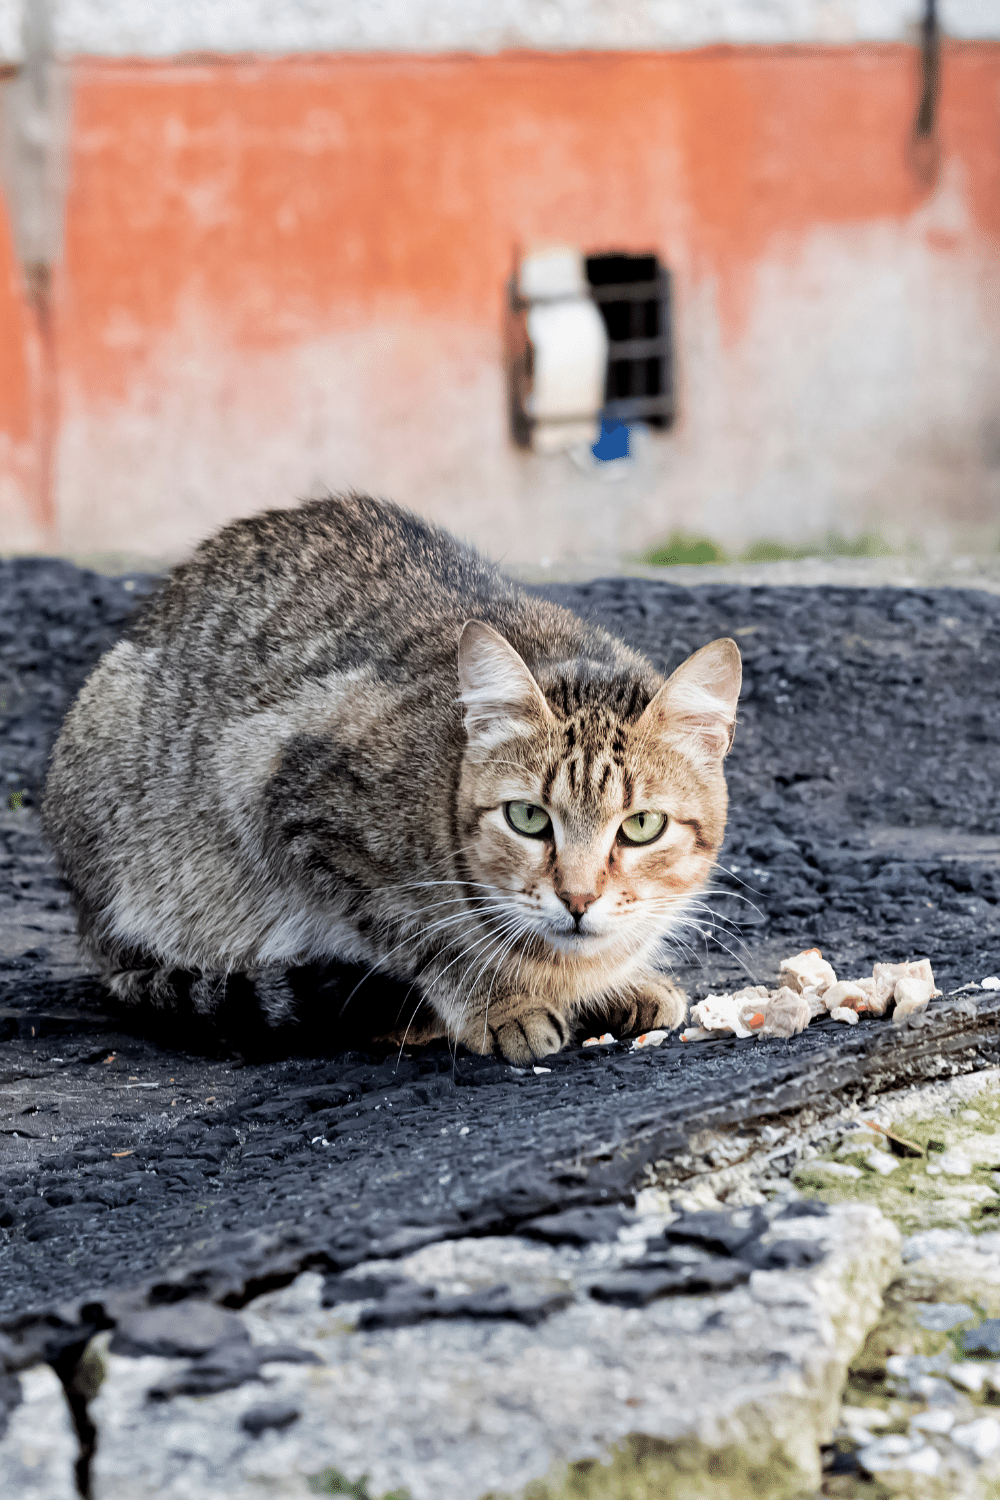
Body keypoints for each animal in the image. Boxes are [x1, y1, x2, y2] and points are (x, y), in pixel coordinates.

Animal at [43, 498, 740, 1062]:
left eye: (641, 826)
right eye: (528, 819)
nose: (577, 898)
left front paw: (620, 982)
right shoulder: (282, 795)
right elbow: (417, 935)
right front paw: (496, 1001)